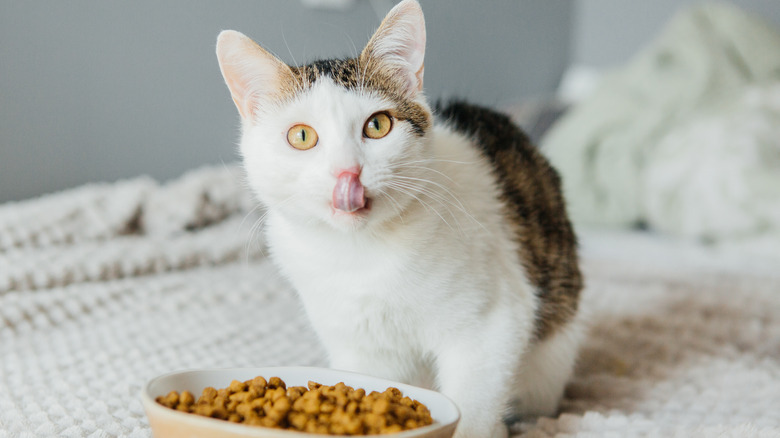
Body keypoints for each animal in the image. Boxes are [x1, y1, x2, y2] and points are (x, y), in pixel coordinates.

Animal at [216, 1, 580, 436]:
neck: (363, 254)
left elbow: (474, 402)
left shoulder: (493, 321)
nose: (348, 172)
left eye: (378, 125)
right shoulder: (361, 349)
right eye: (301, 136)